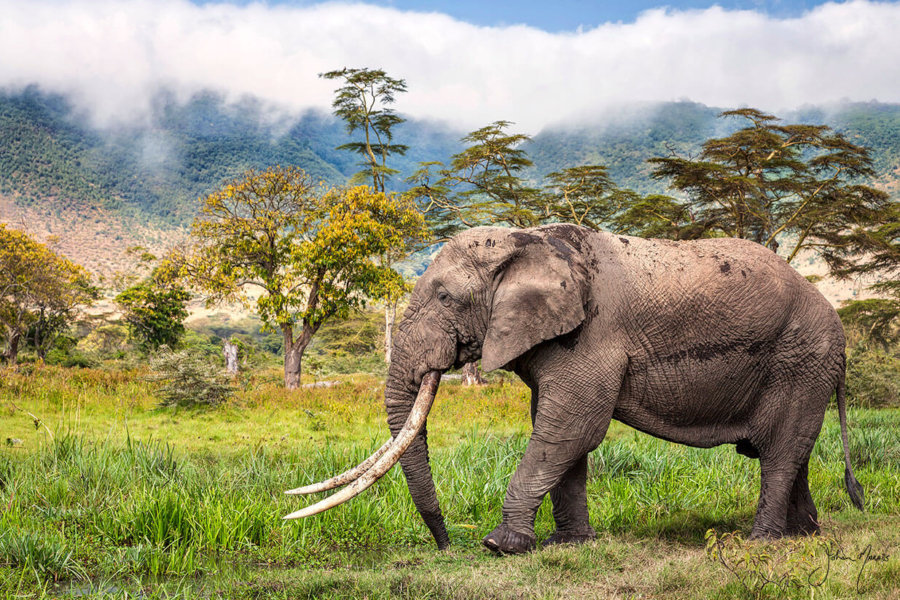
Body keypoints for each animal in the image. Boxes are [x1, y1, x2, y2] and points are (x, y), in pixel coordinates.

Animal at [288, 224, 864, 552]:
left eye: (447, 297)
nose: (447, 545)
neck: (528, 238)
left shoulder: (593, 333)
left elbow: (569, 428)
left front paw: (501, 546)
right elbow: (562, 434)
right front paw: (568, 546)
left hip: (803, 357)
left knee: (781, 451)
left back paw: (761, 543)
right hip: (802, 364)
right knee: (790, 451)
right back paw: (803, 535)